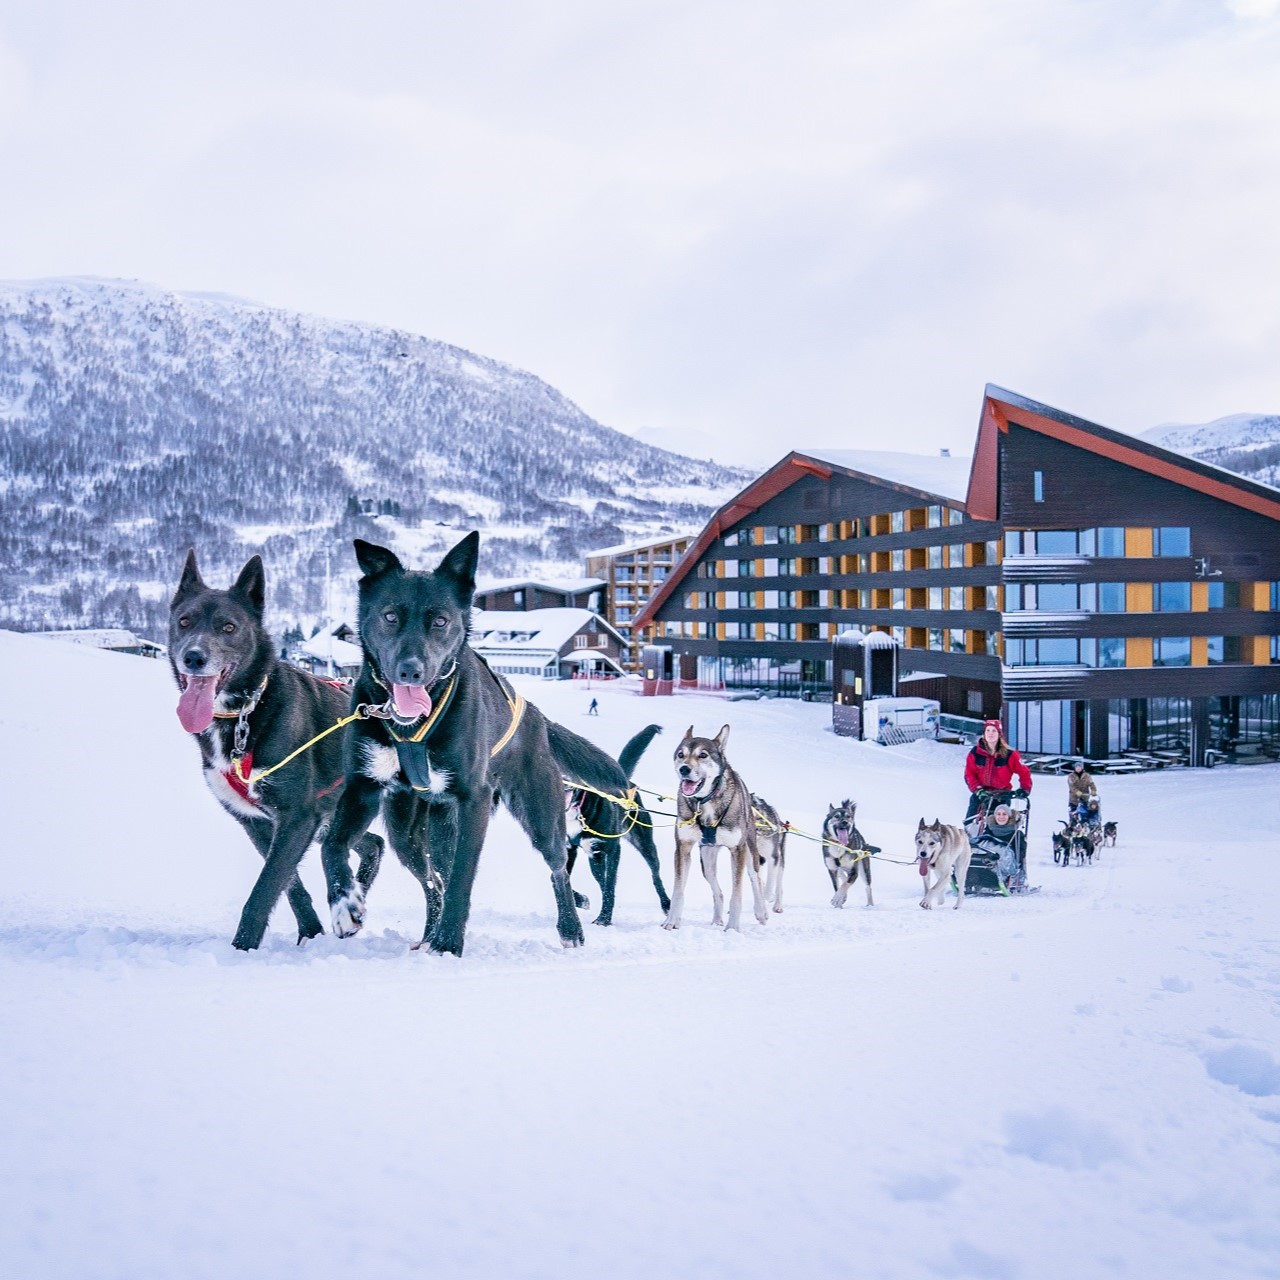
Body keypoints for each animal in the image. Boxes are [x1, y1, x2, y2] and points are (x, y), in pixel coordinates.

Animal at [168, 550, 384, 952]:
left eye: (228, 627)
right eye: (184, 622)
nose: (193, 657)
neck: (244, 714)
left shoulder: (296, 817)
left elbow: (265, 887)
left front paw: (241, 948)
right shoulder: (258, 822)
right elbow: (289, 886)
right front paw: (311, 933)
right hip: (332, 817)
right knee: (373, 845)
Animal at [317, 535, 632, 957]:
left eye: (440, 620)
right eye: (389, 616)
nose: (410, 670)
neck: (414, 727)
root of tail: (537, 719)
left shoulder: (473, 800)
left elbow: (463, 878)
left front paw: (449, 943)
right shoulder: (362, 788)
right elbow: (332, 845)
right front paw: (344, 904)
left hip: (538, 815)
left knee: (555, 868)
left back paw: (570, 929)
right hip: (410, 833)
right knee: (433, 880)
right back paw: (427, 935)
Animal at [568, 727, 675, 926]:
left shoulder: (613, 849)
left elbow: (610, 885)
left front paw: (604, 919)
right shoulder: (569, 848)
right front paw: (581, 900)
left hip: (645, 844)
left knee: (655, 875)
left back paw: (667, 904)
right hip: (595, 858)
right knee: (602, 880)